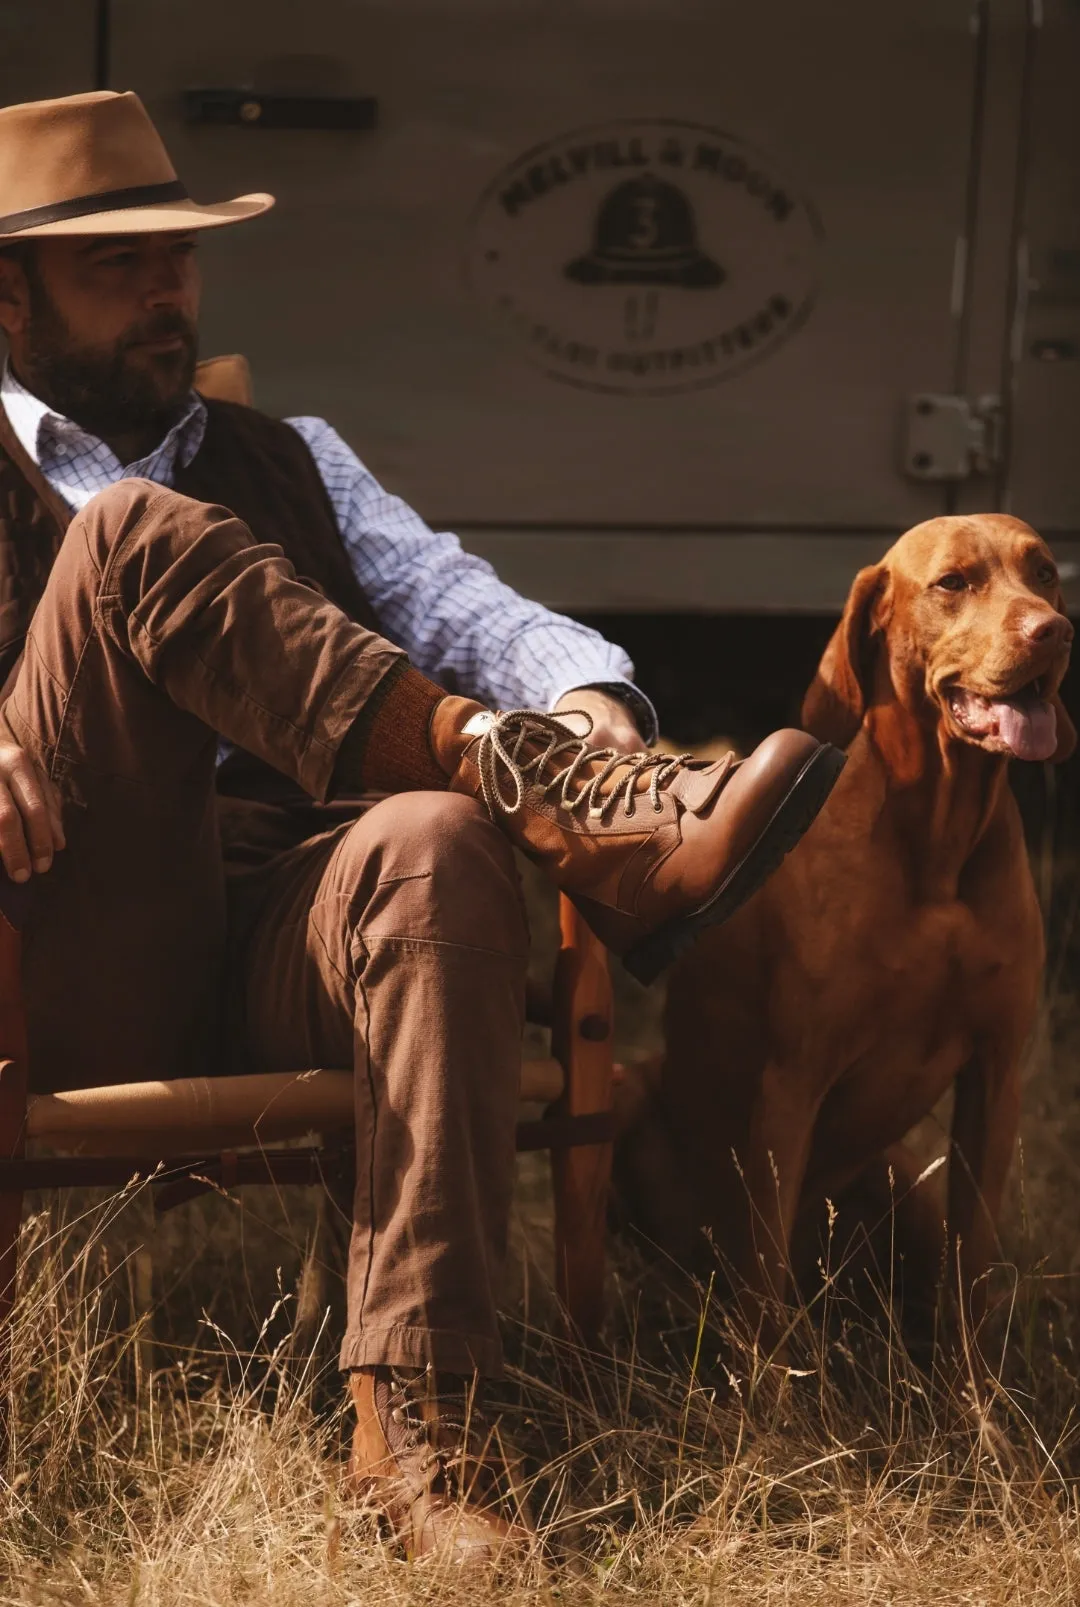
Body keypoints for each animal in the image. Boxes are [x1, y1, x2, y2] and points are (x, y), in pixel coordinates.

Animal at [617, 517, 1073, 1369]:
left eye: (1046, 573)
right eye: (952, 582)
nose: (1055, 631)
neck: (936, 845)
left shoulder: (996, 1077)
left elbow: (973, 1273)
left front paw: (974, 1395)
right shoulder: (791, 1081)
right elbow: (760, 1284)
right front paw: (767, 1395)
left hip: (903, 1183)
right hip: (635, 1099)